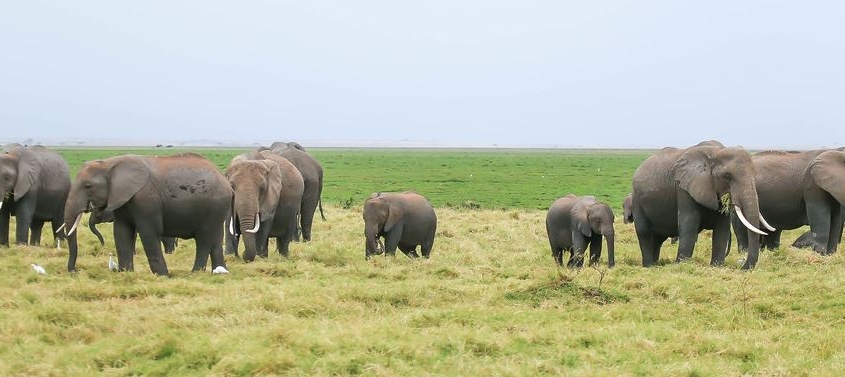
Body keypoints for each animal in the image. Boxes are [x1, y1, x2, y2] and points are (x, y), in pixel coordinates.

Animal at [63, 153, 232, 274]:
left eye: (87, 185)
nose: (75, 271)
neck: (109, 163)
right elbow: (121, 232)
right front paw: (126, 273)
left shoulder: (146, 200)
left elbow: (149, 232)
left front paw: (162, 275)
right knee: (215, 239)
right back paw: (219, 271)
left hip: (214, 206)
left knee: (204, 239)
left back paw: (195, 272)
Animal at [628, 140, 772, 268]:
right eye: (727, 176)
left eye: (755, 174)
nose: (742, 264)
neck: (716, 151)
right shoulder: (683, 188)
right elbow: (689, 224)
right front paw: (682, 265)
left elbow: (722, 228)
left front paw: (716, 266)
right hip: (636, 200)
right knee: (644, 234)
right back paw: (649, 266)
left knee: (657, 239)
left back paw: (655, 264)